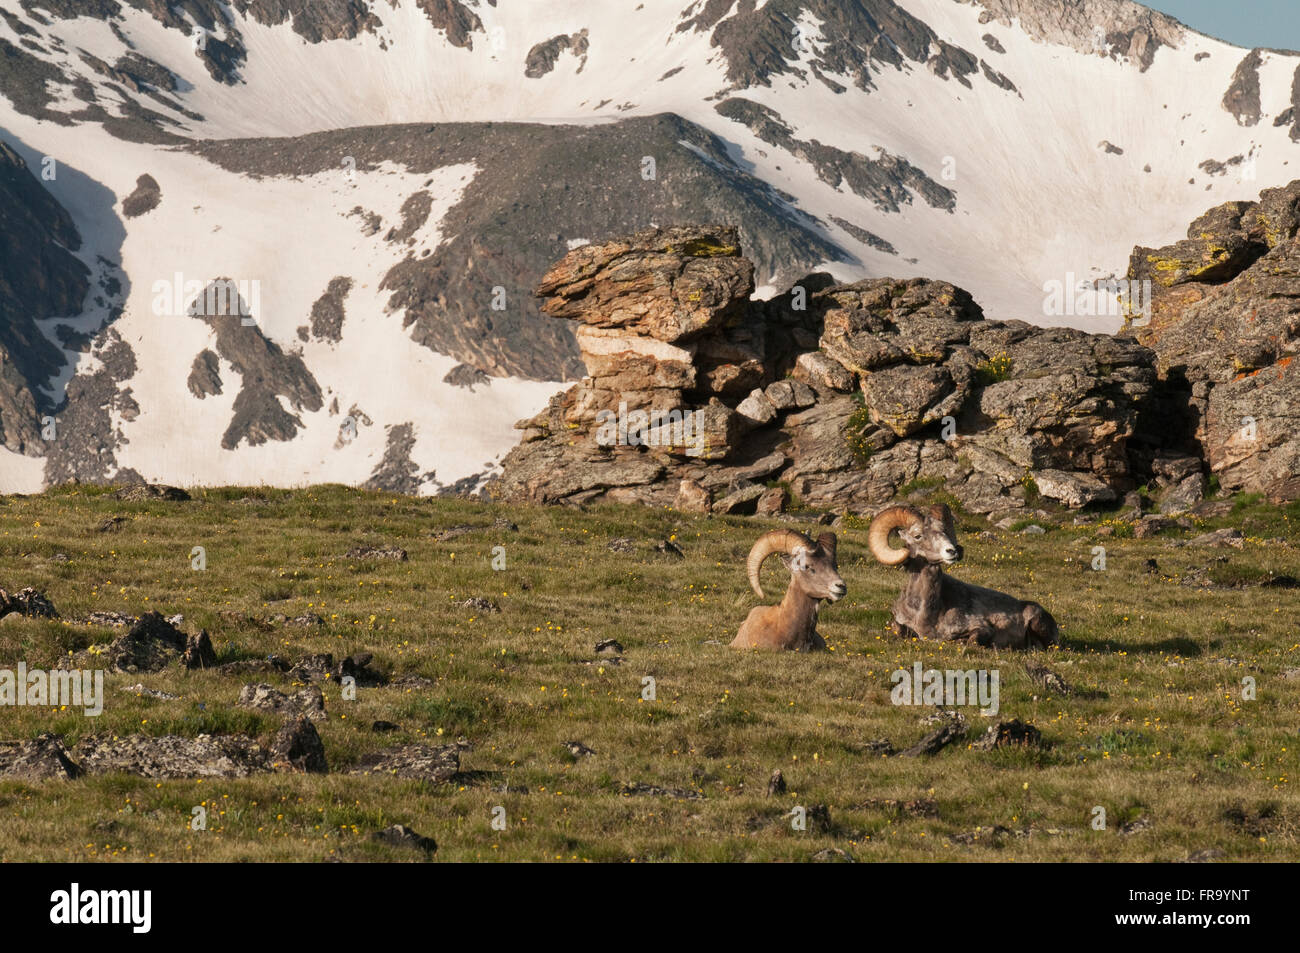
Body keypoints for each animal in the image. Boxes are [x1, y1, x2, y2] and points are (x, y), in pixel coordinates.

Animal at [868, 504, 1058, 649]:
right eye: (918, 536)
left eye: (944, 531)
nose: (951, 551)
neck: (925, 614)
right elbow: (898, 628)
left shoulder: (982, 628)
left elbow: (970, 640)